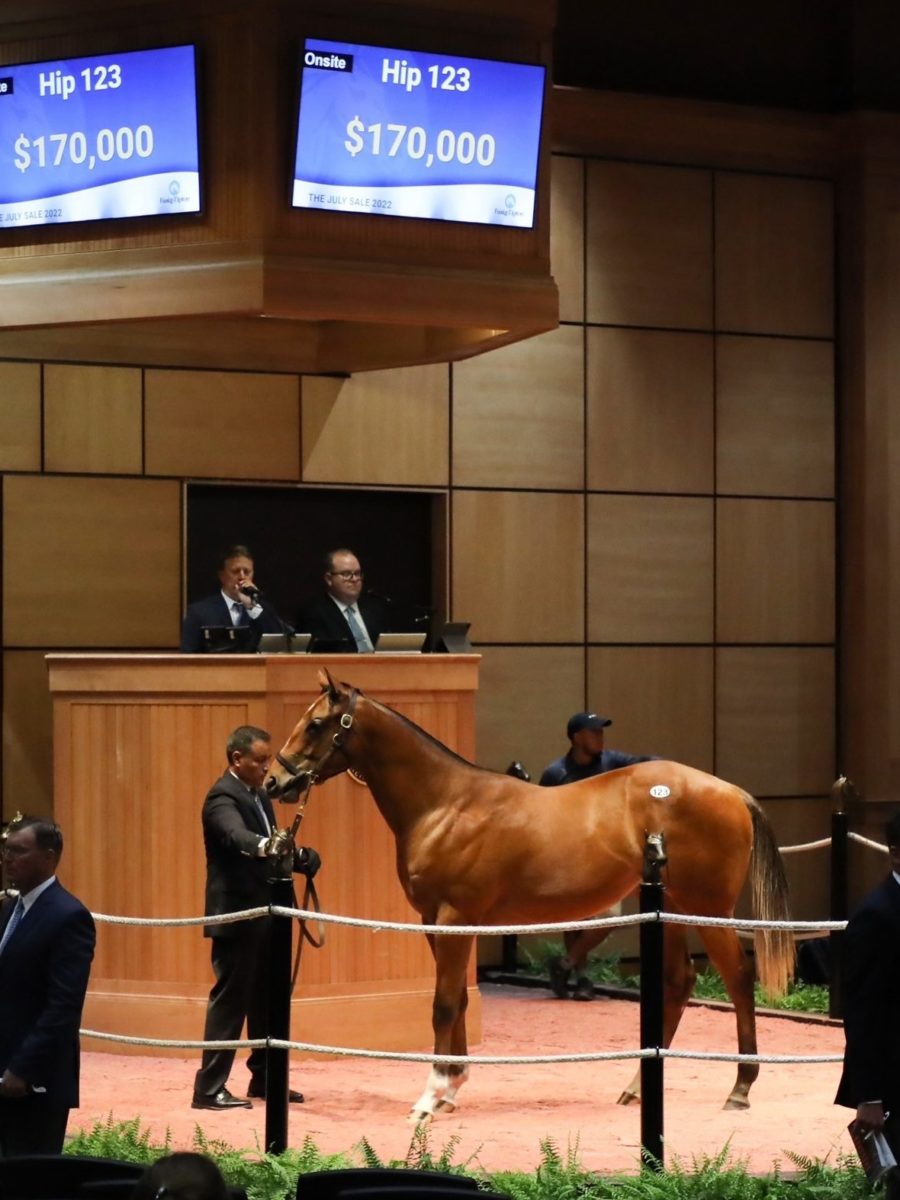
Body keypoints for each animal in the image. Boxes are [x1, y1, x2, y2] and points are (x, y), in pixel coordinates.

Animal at [264, 672, 792, 1118]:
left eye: (315, 724)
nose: (275, 780)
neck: (445, 804)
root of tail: (730, 791)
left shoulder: (454, 919)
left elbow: (443, 1004)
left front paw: (430, 1097)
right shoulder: (437, 922)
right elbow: (455, 999)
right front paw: (452, 1087)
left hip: (708, 909)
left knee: (738, 976)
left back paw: (740, 1088)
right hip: (671, 910)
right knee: (680, 982)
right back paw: (638, 1087)